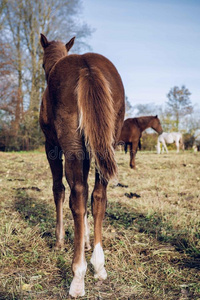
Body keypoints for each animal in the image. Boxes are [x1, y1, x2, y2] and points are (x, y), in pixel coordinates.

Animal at [39, 34, 124, 296]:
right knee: (98, 195)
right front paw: (85, 242)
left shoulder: (51, 146)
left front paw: (59, 241)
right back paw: (98, 265)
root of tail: (88, 67)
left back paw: (78, 276)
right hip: (106, 144)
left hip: (72, 147)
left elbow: (58, 190)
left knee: (76, 195)